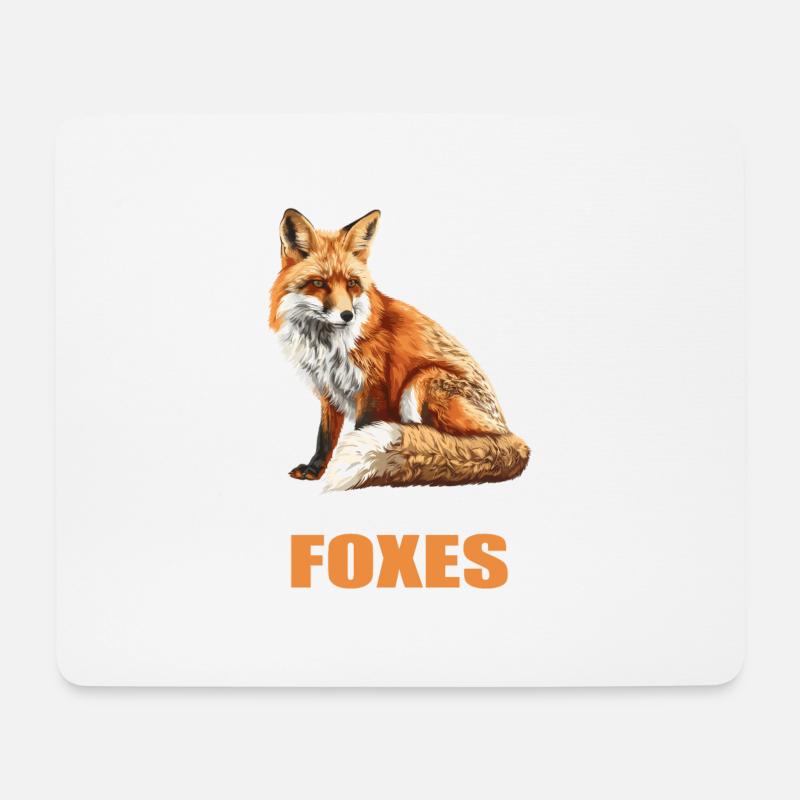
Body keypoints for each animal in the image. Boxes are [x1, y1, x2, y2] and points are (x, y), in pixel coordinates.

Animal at [269, 208, 530, 490]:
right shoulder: (329, 389)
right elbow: (324, 437)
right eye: (318, 283)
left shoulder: (373, 388)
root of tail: (509, 433)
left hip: (422, 381)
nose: (347, 315)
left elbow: (361, 430)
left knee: (443, 440)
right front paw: (315, 469)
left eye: (352, 283)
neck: (328, 344)